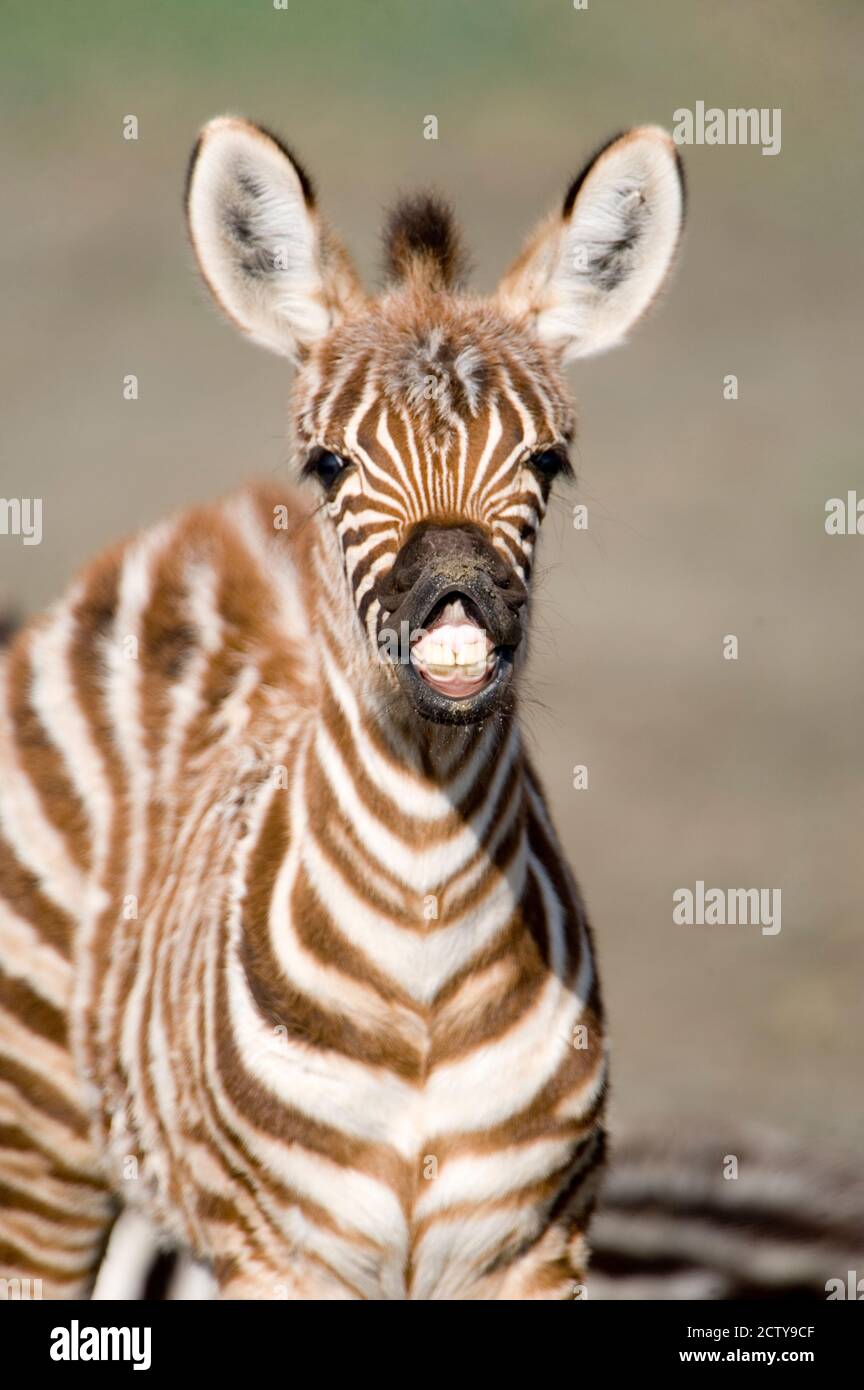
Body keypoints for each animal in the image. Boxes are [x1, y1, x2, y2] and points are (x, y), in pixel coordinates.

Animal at [0, 119, 683, 1301]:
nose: (454, 597)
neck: (425, 934)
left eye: (547, 462)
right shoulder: (285, 1253)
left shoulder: (534, 1249)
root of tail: (215, 519)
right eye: (330, 463)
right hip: (41, 1143)